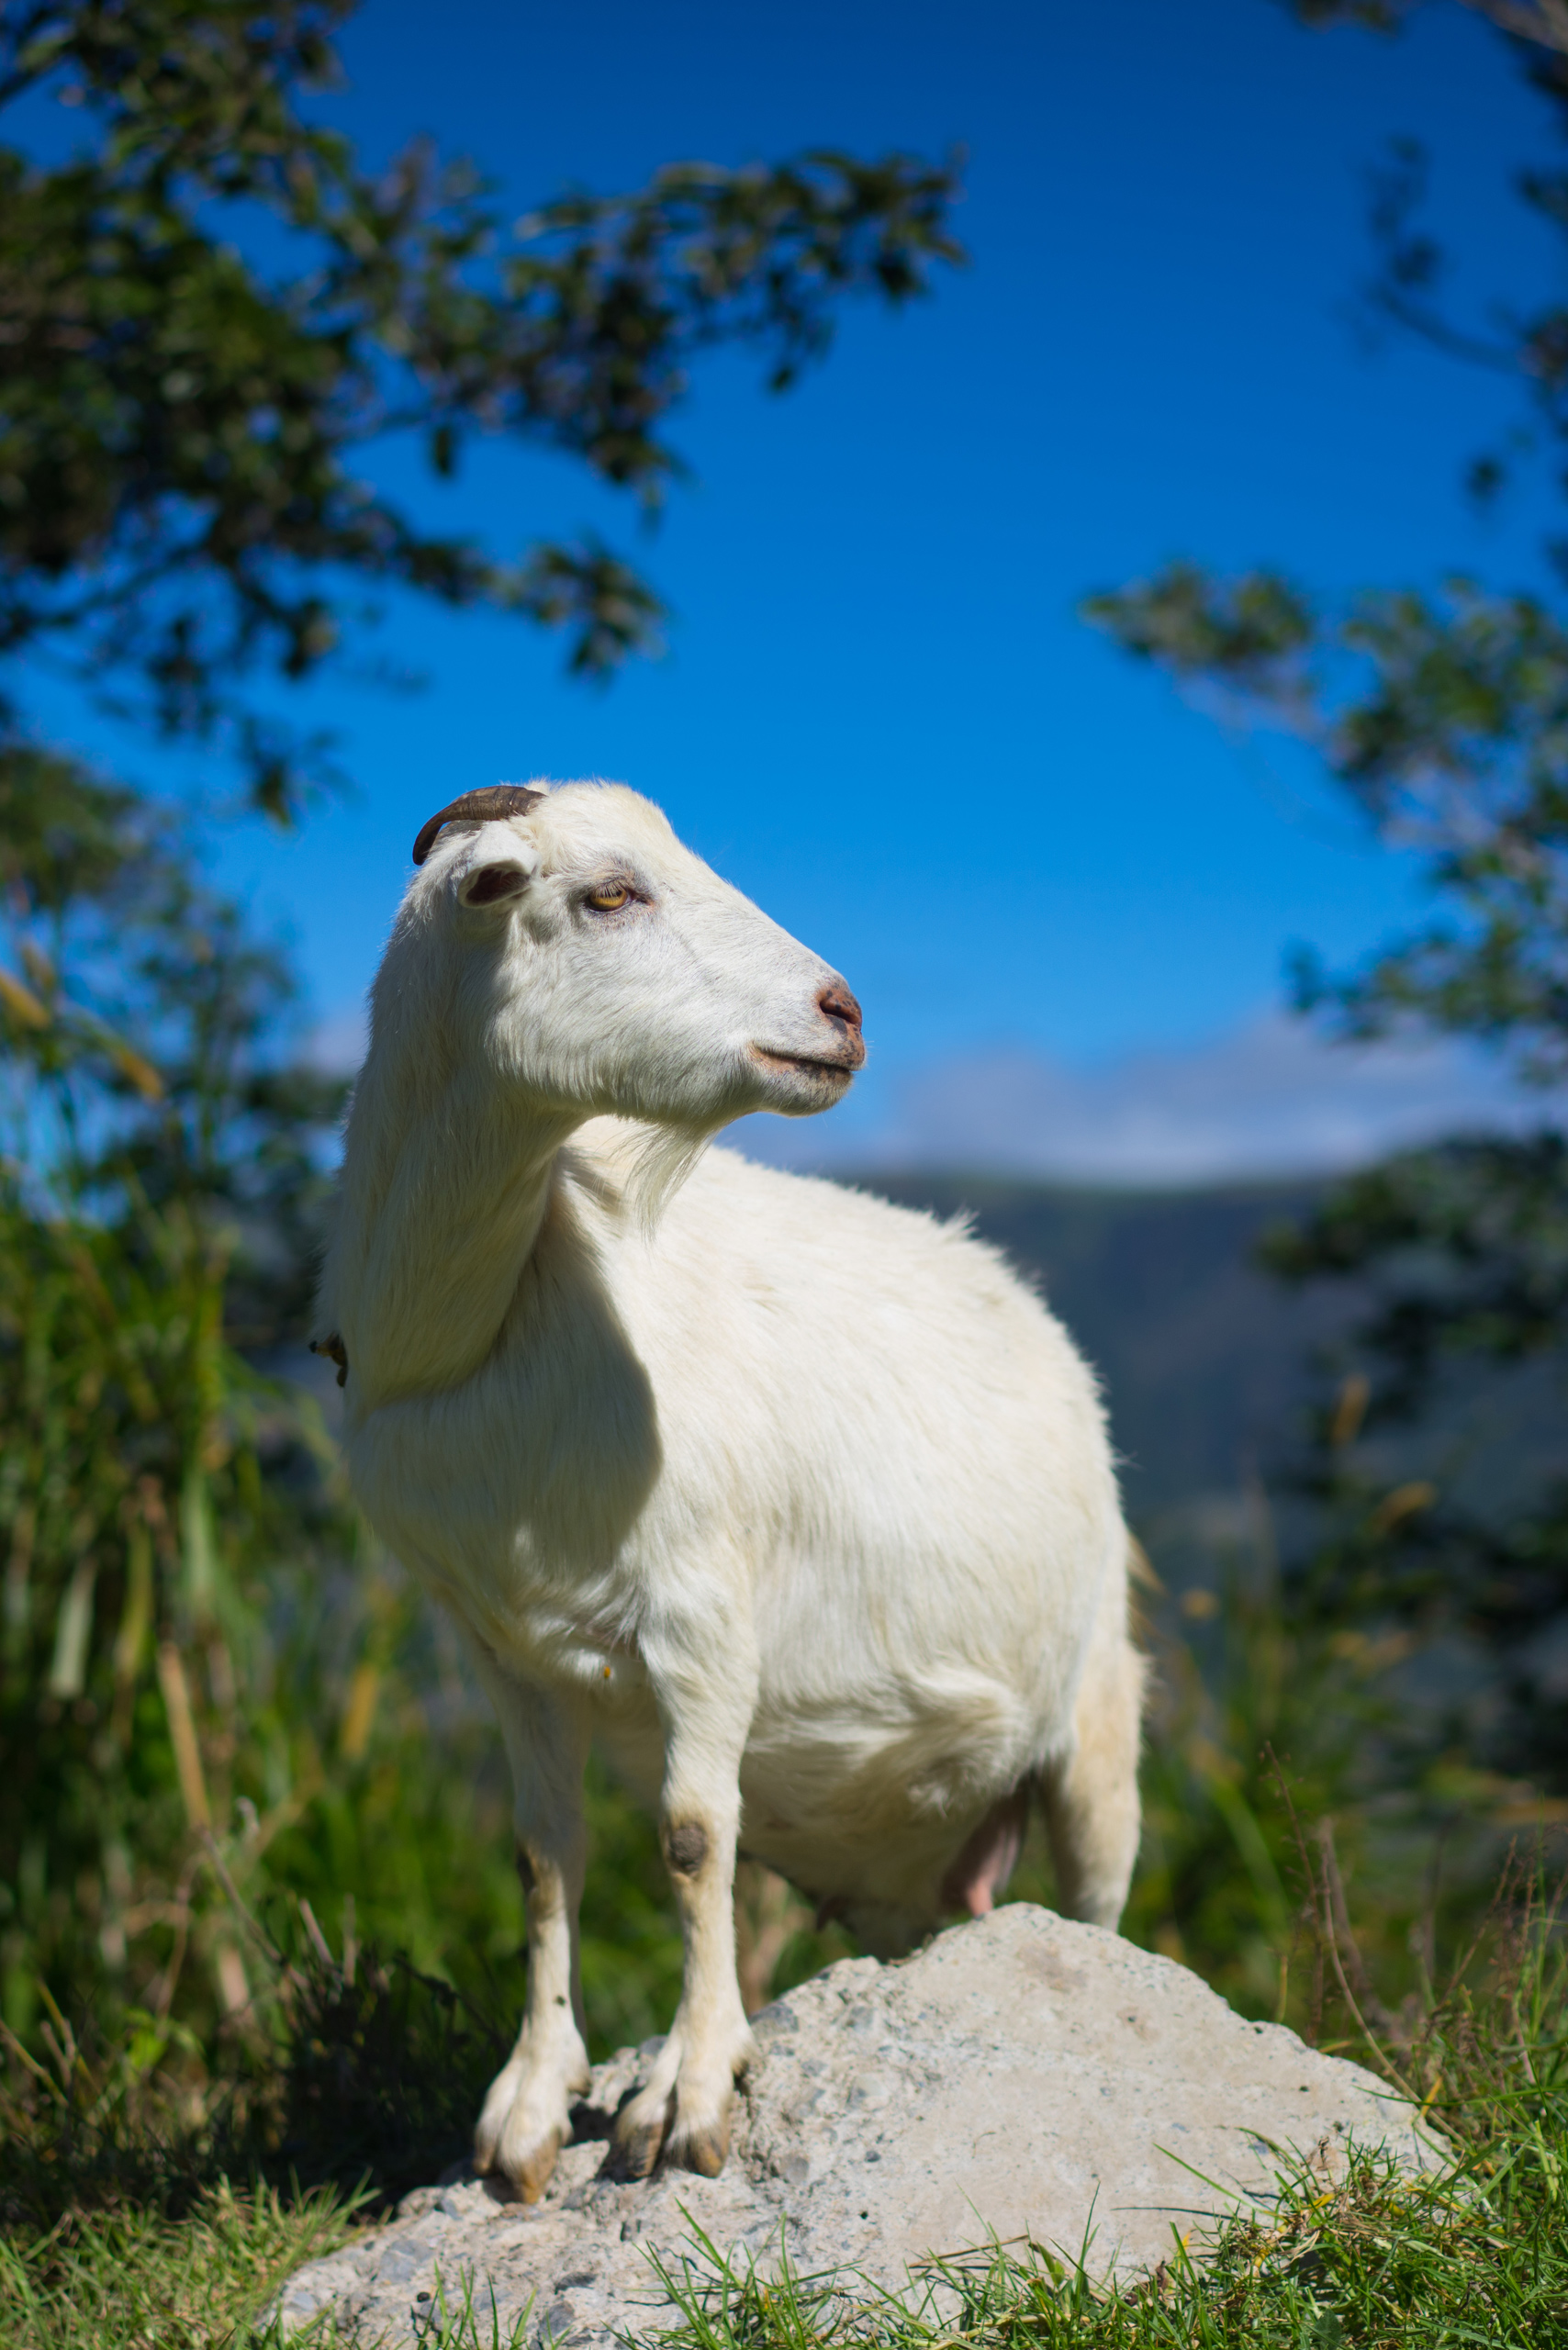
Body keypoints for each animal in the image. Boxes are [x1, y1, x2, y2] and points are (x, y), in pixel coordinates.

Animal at [315, 779, 1143, 2201]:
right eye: (608, 892)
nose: (842, 1011)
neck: (483, 1326)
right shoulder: (498, 1645)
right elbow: (546, 1855)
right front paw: (529, 2110)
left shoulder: (703, 1614)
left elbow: (693, 1838)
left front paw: (688, 2098)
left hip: (1097, 1724)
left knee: (1102, 1912)